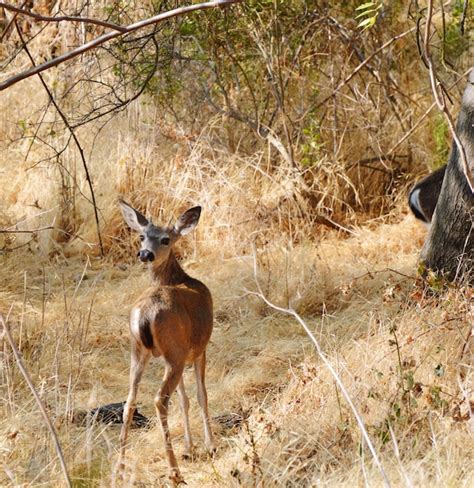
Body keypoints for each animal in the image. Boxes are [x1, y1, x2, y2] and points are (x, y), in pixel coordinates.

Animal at [117, 200, 216, 486]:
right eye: (141, 236)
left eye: (164, 239)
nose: (144, 254)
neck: (179, 279)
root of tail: (144, 314)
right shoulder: (199, 350)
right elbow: (200, 395)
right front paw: (209, 446)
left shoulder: (179, 354)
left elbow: (184, 399)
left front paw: (189, 448)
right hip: (173, 354)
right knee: (160, 400)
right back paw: (174, 472)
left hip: (140, 352)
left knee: (130, 401)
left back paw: (120, 469)